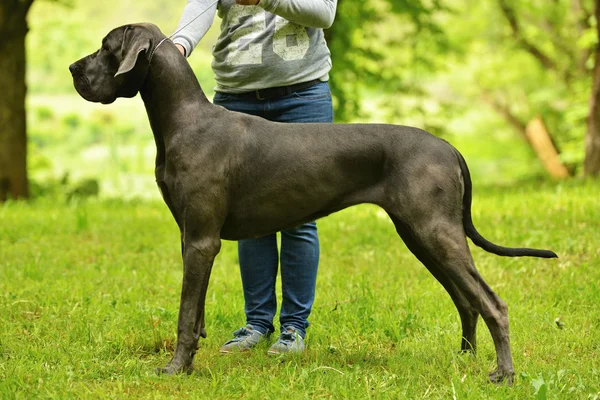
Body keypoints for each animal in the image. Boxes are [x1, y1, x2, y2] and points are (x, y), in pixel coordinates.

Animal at [70, 22, 556, 384]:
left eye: (106, 47)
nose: (74, 67)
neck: (185, 120)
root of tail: (449, 147)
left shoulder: (202, 240)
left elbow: (185, 313)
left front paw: (175, 369)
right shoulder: (192, 237)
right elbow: (197, 307)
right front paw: (190, 358)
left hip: (435, 232)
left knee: (492, 303)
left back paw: (504, 374)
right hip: (422, 235)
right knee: (466, 300)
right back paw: (464, 360)